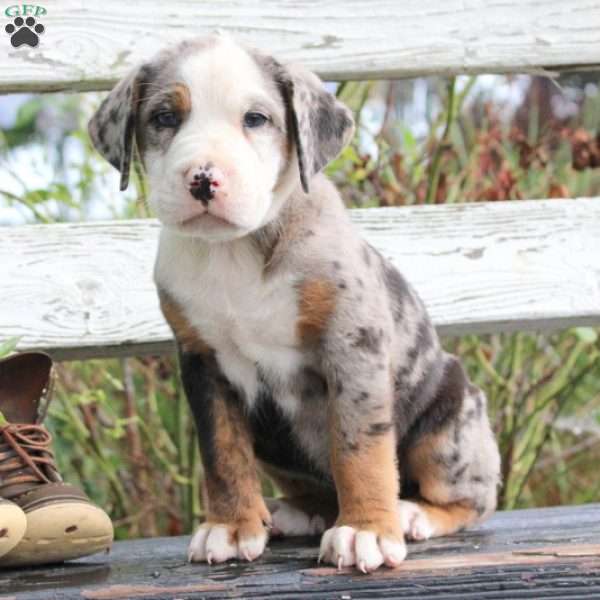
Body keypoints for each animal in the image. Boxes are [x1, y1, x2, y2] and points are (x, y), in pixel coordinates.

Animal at [90, 32, 502, 572]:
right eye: (164, 117)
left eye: (255, 119)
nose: (203, 178)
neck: (232, 252)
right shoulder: (203, 363)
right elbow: (222, 452)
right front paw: (231, 527)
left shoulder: (352, 345)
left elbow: (359, 447)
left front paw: (366, 530)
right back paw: (295, 512)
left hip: (450, 416)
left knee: (470, 498)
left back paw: (412, 514)